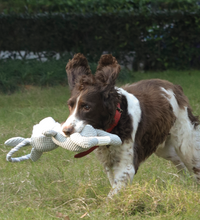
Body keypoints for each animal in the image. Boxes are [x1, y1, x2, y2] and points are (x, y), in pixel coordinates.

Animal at [61, 53, 200, 198]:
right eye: (70, 105)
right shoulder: (108, 162)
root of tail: (175, 87)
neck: (112, 126)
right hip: (163, 146)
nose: (66, 131)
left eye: (87, 107)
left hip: (185, 143)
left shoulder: (126, 165)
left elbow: (112, 194)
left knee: (192, 162)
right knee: (178, 161)